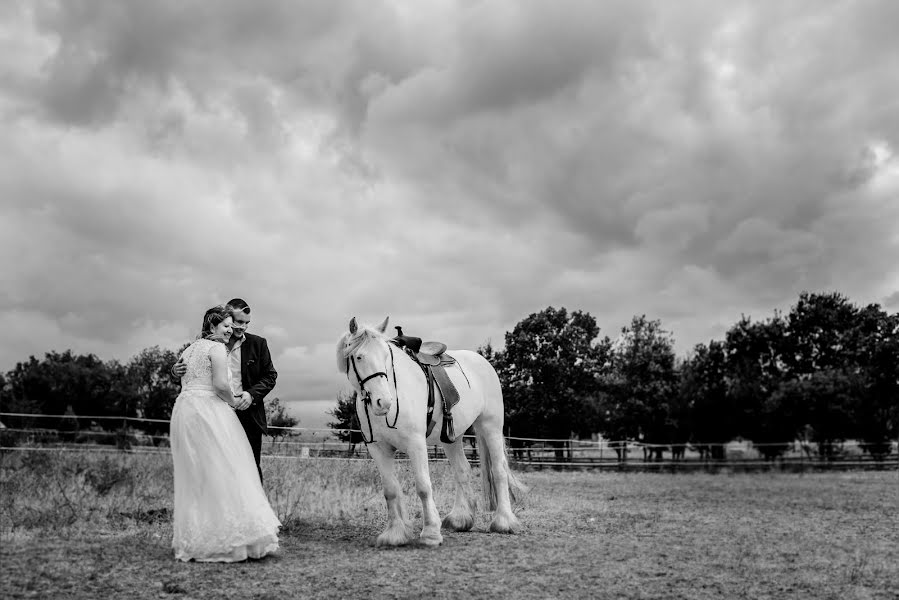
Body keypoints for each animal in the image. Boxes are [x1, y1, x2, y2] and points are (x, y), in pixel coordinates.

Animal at [338, 316, 524, 548]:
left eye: (386, 356)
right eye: (359, 356)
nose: (384, 402)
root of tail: (483, 362)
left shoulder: (416, 443)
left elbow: (423, 487)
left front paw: (430, 534)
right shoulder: (378, 449)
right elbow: (390, 490)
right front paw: (395, 534)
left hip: (490, 427)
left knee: (499, 471)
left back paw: (504, 522)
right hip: (452, 438)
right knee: (462, 470)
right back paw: (460, 518)